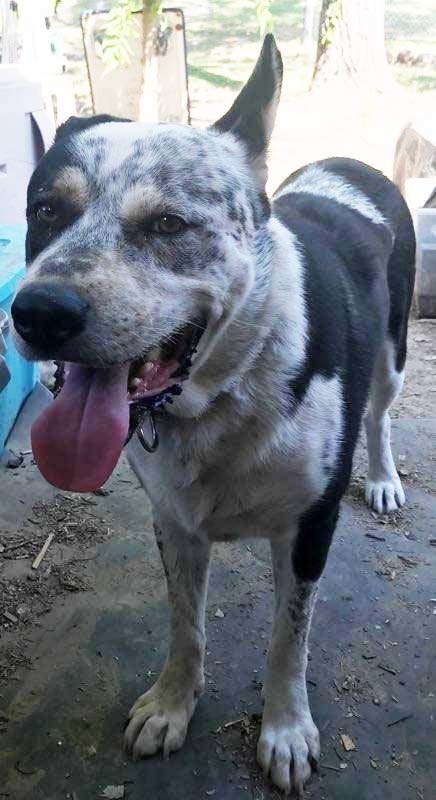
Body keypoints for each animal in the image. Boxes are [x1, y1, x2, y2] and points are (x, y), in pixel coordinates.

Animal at [11, 36, 416, 792]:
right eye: (46, 211)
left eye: (168, 223)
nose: (40, 313)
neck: (230, 387)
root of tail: (349, 164)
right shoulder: (173, 521)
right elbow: (185, 625)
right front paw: (172, 705)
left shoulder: (310, 529)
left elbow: (290, 638)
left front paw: (285, 730)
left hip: (394, 353)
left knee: (378, 416)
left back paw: (381, 478)